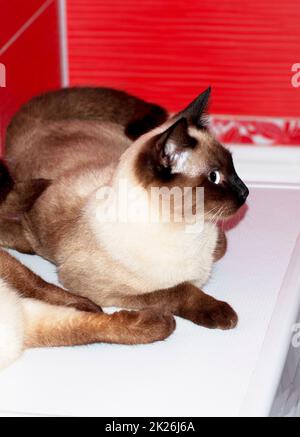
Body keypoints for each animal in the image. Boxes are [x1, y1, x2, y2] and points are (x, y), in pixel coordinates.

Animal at [2, 86, 250, 350]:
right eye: (214, 177)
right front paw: (222, 313)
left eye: (233, 167)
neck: (191, 227)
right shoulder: (100, 290)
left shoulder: (216, 238)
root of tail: (37, 128)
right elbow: (178, 290)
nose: (245, 192)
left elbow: (221, 246)